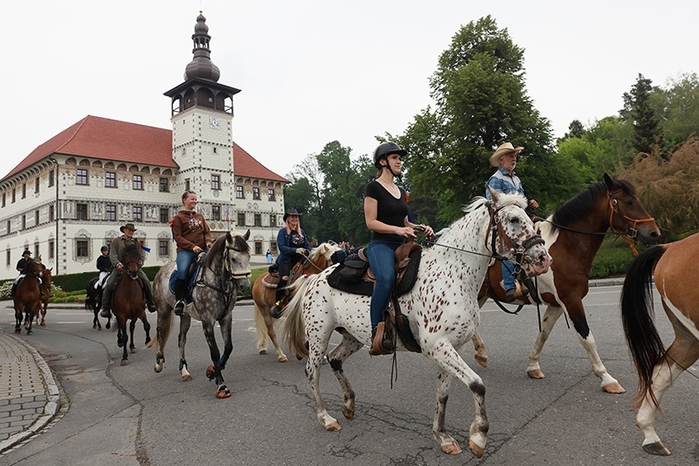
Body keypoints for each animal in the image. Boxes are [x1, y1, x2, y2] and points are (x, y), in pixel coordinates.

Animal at [147, 230, 251, 398]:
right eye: (233, 259)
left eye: (248, 256)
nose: (245, 286)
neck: (217, 282)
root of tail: (162, 269)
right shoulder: (207, 321)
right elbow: (215, 352)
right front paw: (221, 384)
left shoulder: (226, 318)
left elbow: (228, 347)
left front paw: (213, 372)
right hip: (163, 310)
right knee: (161, 332)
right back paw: (159, 363)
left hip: (185, 316)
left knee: (181, 340)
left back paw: (184, 370)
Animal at [281, 189, 552, 457]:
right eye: (514, 219)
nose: (543, 258)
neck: (452, 275)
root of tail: (315, 277)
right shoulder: (437, 346)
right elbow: (477, 384)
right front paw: (479, 436)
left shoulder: (453, 347)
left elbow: (443, 393)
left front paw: (442, 436)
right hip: (319, 336)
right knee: (312, 371)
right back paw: (325, 417)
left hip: (352, 336)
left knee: (335, 359)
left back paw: (348, 404)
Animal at [472, 174, 660, 393]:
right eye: (628, 202)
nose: (654, 233)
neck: (566, 246)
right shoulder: (571, 300)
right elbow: (587, 338)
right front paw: (607, 378)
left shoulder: (556, 304)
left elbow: (544, 332)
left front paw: (533, 366)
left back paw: (481, 353)